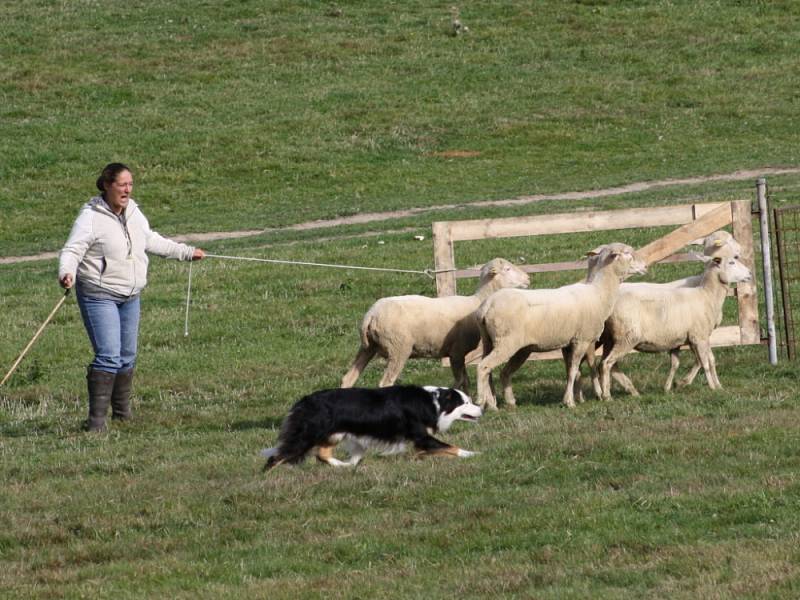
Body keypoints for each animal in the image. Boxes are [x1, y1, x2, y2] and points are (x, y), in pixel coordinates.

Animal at [340, 256, 528, 390]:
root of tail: (370, 315)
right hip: (398, 347)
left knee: (348, 378)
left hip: (368, 347)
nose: (528, 278)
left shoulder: (457, 353)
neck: (477, 301)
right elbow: (461, 380)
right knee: (385, 383)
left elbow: (465, 381)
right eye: (507, 269)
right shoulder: (457, 351)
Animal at [476, 243, 644, 408]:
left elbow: (575, 370)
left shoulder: (569, 343)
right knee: (483, 367)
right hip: (505, 343)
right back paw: (482, 400)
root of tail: (487, 305)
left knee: (497, 371)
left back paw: (504, 402)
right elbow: (574, 370)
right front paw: (570, 401)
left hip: (493, 342)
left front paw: (580, 397)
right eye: (627, 253)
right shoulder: (582, 340)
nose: (644, 266)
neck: (599, 293)